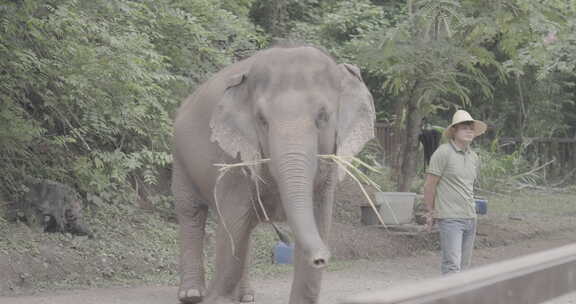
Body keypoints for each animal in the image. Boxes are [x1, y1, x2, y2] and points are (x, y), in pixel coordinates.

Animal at [171, 43, 376, 304]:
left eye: (323, 116)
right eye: (261, 120)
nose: (321, 258)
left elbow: (318, 219)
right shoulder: (234, 157)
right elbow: (233, 226)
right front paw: (216, 298)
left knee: (244, 230)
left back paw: (247, 296)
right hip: (179, 157)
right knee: (192, 213)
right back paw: (192, 294)